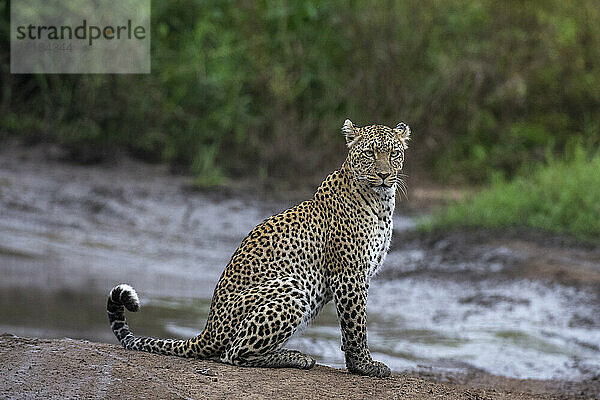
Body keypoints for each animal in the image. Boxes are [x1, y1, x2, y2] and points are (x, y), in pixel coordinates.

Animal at [105, 119, 410, 378]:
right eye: (370, 153)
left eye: (394, 153)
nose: (384, 175)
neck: (382, 201)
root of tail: (207, 330)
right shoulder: (348, 274)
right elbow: (356, 323)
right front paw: (364, 366)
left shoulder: (360, 274)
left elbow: (353, 323)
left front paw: (358, 363)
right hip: (292, 288)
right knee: (233, 354)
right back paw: (296, 357)